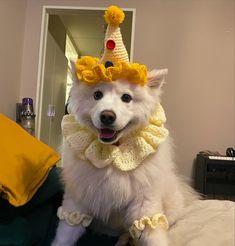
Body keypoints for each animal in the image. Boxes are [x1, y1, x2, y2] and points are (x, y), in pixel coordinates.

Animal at [51, 65, 196, 246]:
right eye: (97, 94)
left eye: (126, 97)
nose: (107, 116)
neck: (113, 152)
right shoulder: (76, 203)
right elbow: (64, 235)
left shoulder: (144, 206)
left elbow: (153, 235)